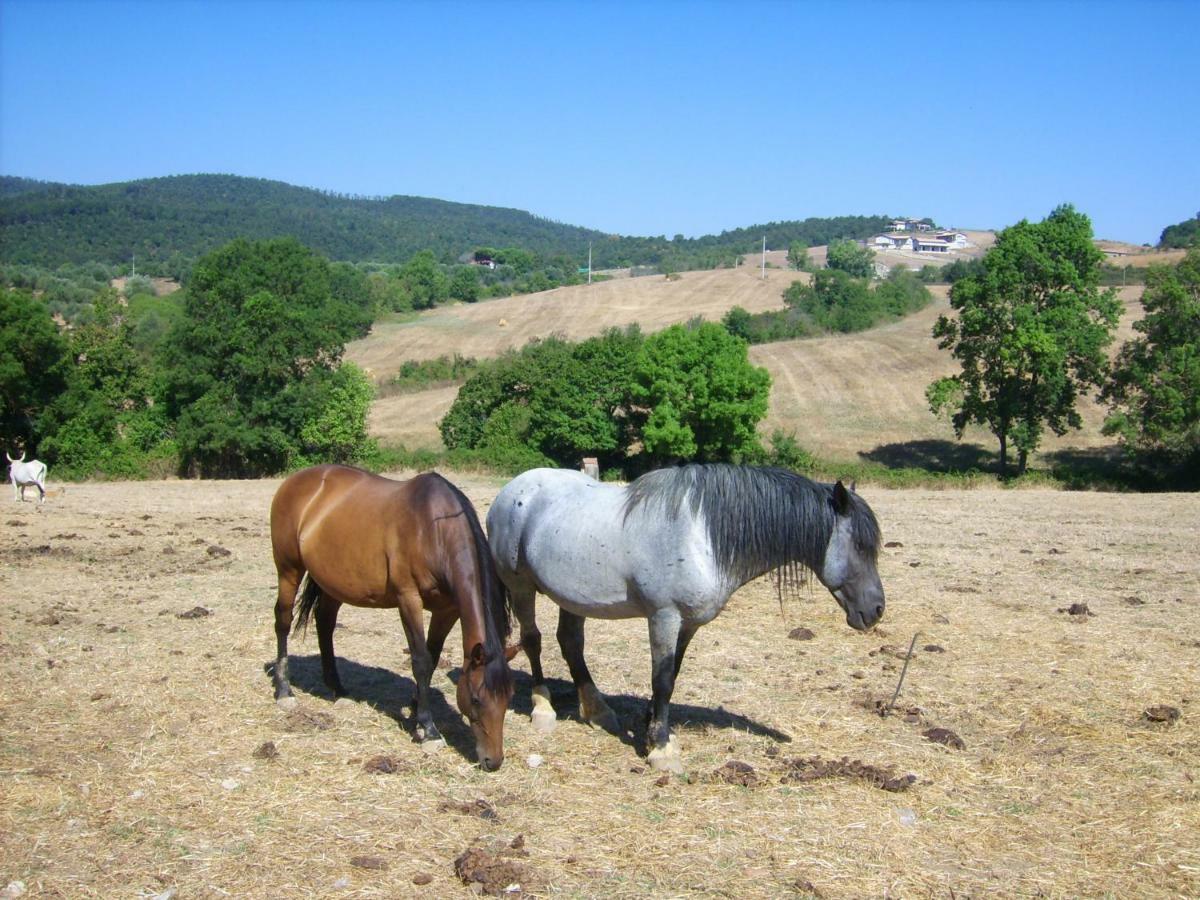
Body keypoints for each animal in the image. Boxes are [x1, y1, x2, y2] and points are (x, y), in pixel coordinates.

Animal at [272, 468, 516, 772]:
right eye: (476, 699)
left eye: (508, 698)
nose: (492, 761)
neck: (433, 530)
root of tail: (294, 481)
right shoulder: (408, 599)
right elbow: (421, 660)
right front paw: (428, 729)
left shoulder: (447, 609)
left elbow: (433, 658)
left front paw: (416, 708)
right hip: (288, 569)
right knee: (283, 621)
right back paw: (284, 691)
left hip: (333, 582)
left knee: (325, 623)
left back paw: (336, 687)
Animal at [482, 465, 888, 777]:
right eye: (859, 546)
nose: (876, 610)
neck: (700, 536)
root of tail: (512, 489)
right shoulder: (664, 616)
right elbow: (661, 679)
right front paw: (661, 750)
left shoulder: (688, 624)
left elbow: (672, 675)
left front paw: (652, 729)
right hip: (520, 586)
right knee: (533, 640)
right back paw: (543, 710)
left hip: (572, 595)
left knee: (570, 643)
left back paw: (598, 711)